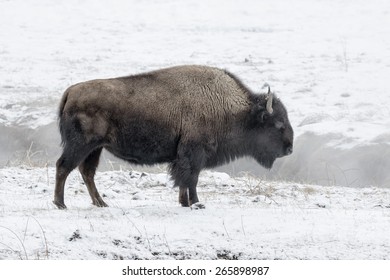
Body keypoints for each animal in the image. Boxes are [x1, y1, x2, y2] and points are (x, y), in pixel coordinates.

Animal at [54, 65, 292, 209]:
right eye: (278, 124)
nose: (289, 149)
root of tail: (70, 92)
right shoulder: (194, 154)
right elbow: (191, 179)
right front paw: (196, 203)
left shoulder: (184, 156)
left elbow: (184, 180)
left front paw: (184, 203)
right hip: (81, 146)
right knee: (64, 166)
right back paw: (61, 203)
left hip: (95, 148)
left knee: (86, 172)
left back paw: (100, 203)